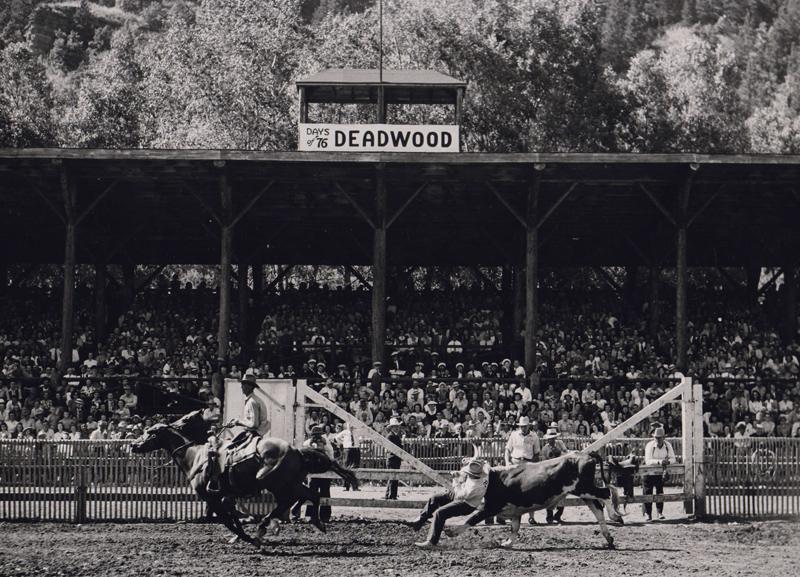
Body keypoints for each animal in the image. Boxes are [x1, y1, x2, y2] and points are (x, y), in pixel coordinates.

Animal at [130, 410, 360, 544]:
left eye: (150, 432)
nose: (133, 445)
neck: (195, 456)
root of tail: (297, 450)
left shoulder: (212, 498)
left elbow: (227, 520)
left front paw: (246, 538)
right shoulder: (224, 497)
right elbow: (232, 517)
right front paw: (239, 536)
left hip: (272, 481)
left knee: (289, 500)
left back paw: (266, 526)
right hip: (291, 483)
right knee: (310, 495)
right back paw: (312, 522)